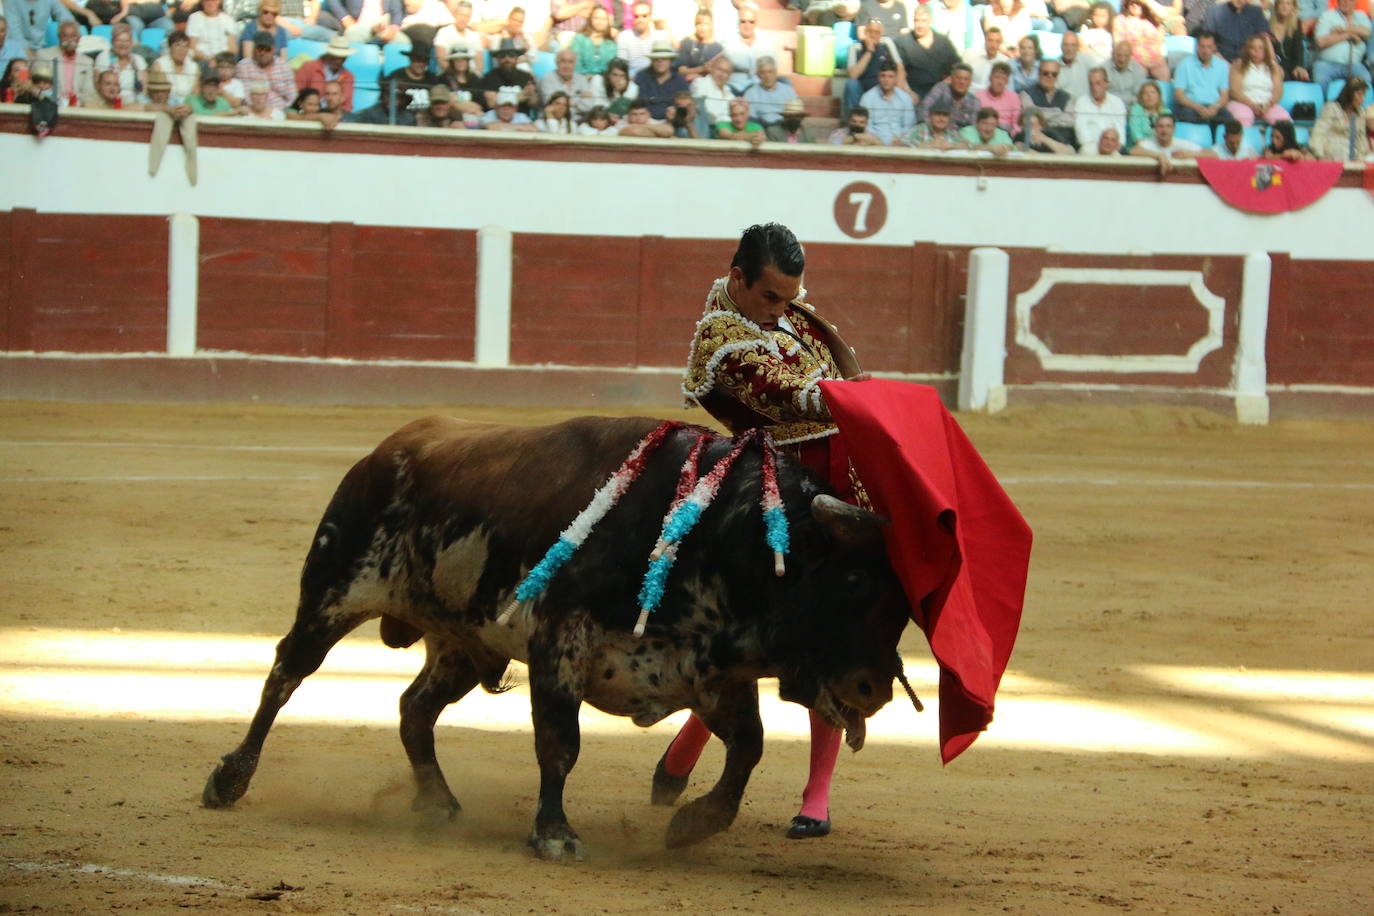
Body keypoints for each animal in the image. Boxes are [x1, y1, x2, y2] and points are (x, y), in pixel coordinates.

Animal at [200, 414, 912, 862]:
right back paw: (229, 780)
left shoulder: (711, 672)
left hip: (465, 644)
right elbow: (559, 746)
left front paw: (688, 826)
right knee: (284, 677)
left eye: (905, 606)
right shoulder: (559, 646)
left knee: (414, 709)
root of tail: (387, 450)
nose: (875, 689)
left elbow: (749, 750)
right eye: (852, 579)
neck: (717, 536)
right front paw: (554, 835)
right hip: (332, 592)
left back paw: (438, 803)